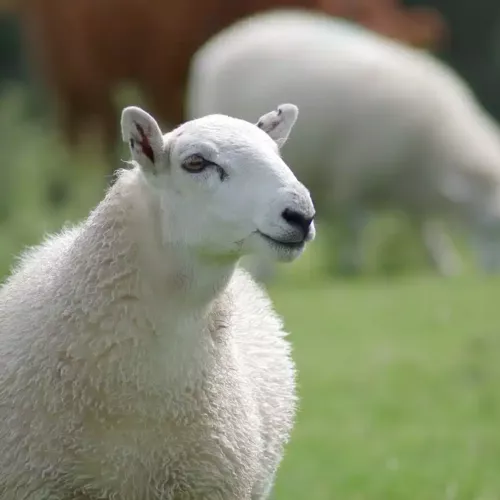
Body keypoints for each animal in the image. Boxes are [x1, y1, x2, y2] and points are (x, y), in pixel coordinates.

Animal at [187, 7, 500, 280]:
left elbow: (423, 227)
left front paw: (443, 264)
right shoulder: (355, 175)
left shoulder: (411, 183)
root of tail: (225, 40)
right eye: (491, 224)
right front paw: (352, 265)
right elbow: (356, 225)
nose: (492, 273)